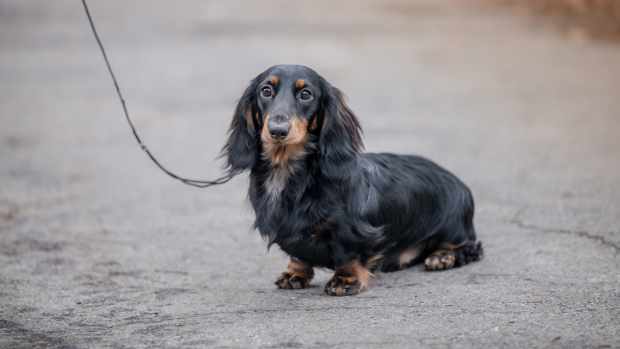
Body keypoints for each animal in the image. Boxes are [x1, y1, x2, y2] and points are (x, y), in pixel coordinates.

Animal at [223, 64, 484, 294]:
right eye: (266, 91)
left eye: (306, 94)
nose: (278, 130)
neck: (288, 171)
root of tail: (458, 182)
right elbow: (298, 256)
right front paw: (295, 273)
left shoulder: (354, 231)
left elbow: (350, 253)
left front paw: (345, 279)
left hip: (453, 226)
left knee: (470, 247)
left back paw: (443, 256)